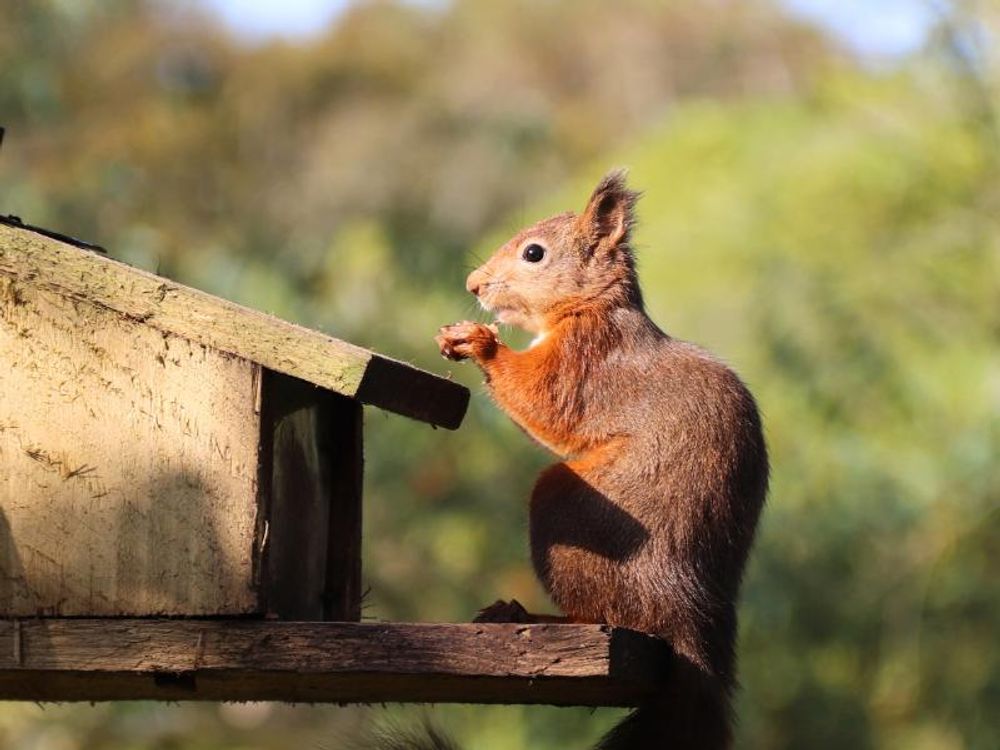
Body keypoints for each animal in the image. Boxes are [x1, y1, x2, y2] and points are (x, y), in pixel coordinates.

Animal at [434, 170, 769, 750]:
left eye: (534, 253)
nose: (475, 284)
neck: (590, 306)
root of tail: (686, 612)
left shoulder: (584, 361)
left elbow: (545, 401)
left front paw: (481, 343)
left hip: (572, 513)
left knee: (600, 615)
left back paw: (531, 618)